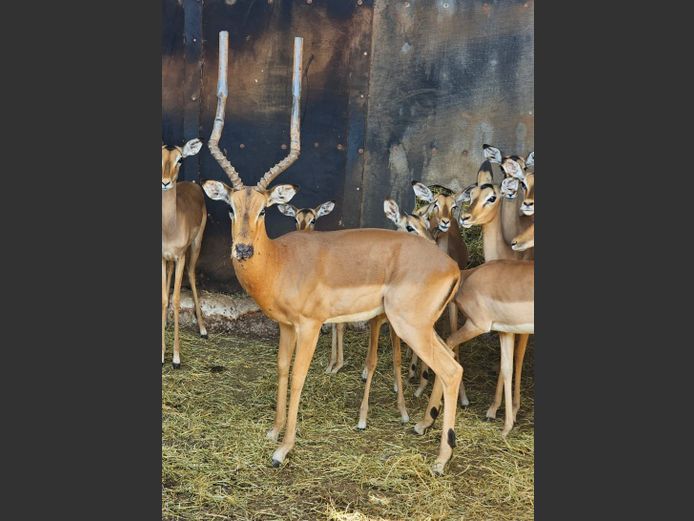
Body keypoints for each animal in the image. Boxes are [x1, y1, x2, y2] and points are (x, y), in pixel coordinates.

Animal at [203, 33, 461, 474]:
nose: (243, 248)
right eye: (232, 207)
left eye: (264, 209)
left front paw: (283, 449)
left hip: (409, 325)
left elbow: (300, 377)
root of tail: (453, 266)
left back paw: (441, 460)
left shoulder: (310, 325)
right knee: (452, 363)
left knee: (449, 369)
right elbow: (282, 369)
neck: (281, 261)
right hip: (421, 326)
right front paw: (274, 431)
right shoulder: (285, 326)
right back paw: (426, 432)